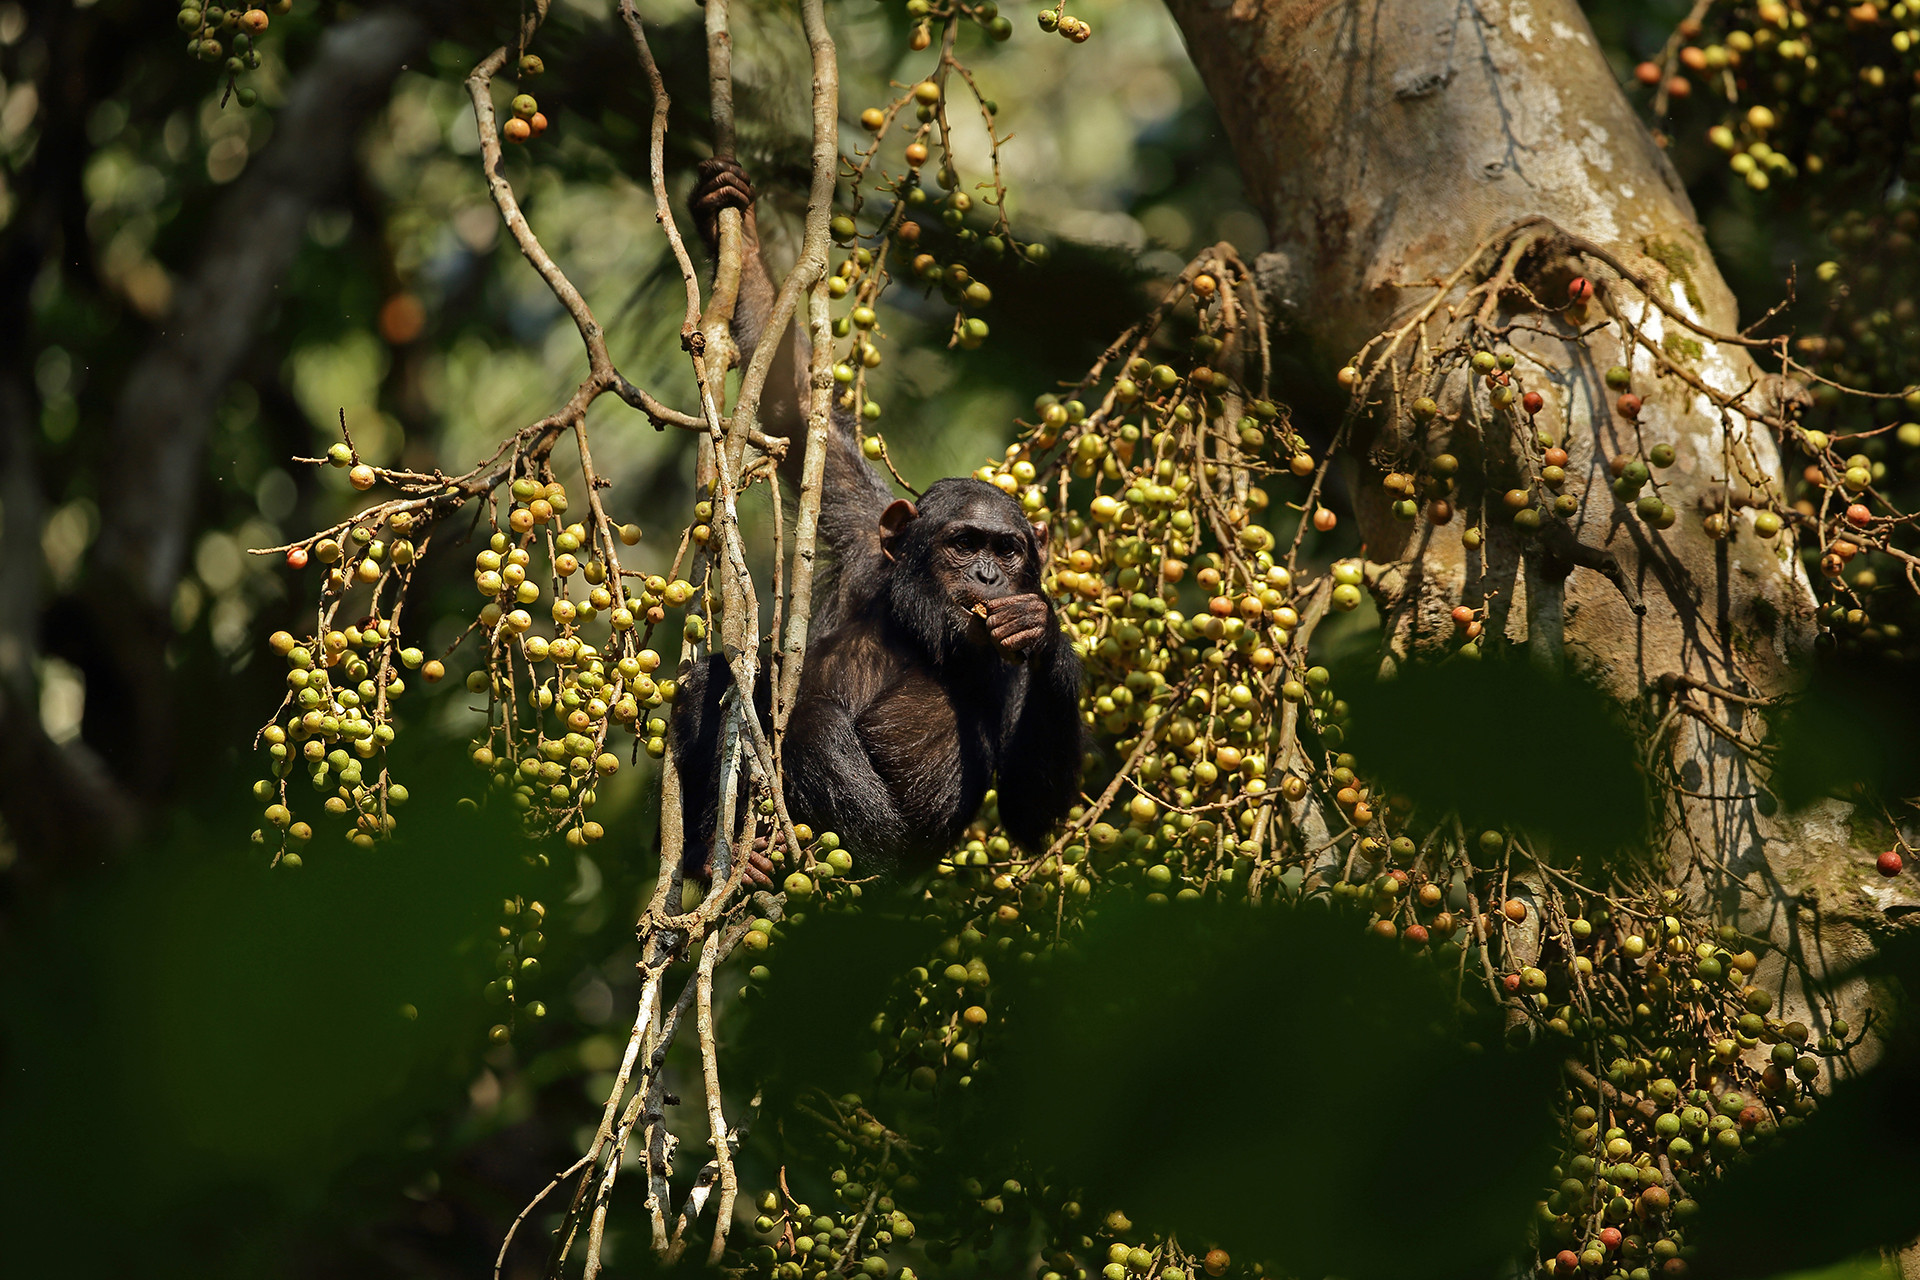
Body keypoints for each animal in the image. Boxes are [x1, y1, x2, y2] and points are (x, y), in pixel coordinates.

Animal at [670, 158, 1084, 884]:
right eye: (964, 543)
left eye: (1007, 552)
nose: (988, 575)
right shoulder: (869, 536)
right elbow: (798, 408)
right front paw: (729, 212)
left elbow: (1031, 813)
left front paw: (1044, 627)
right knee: (721, 681)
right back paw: (715, 855)